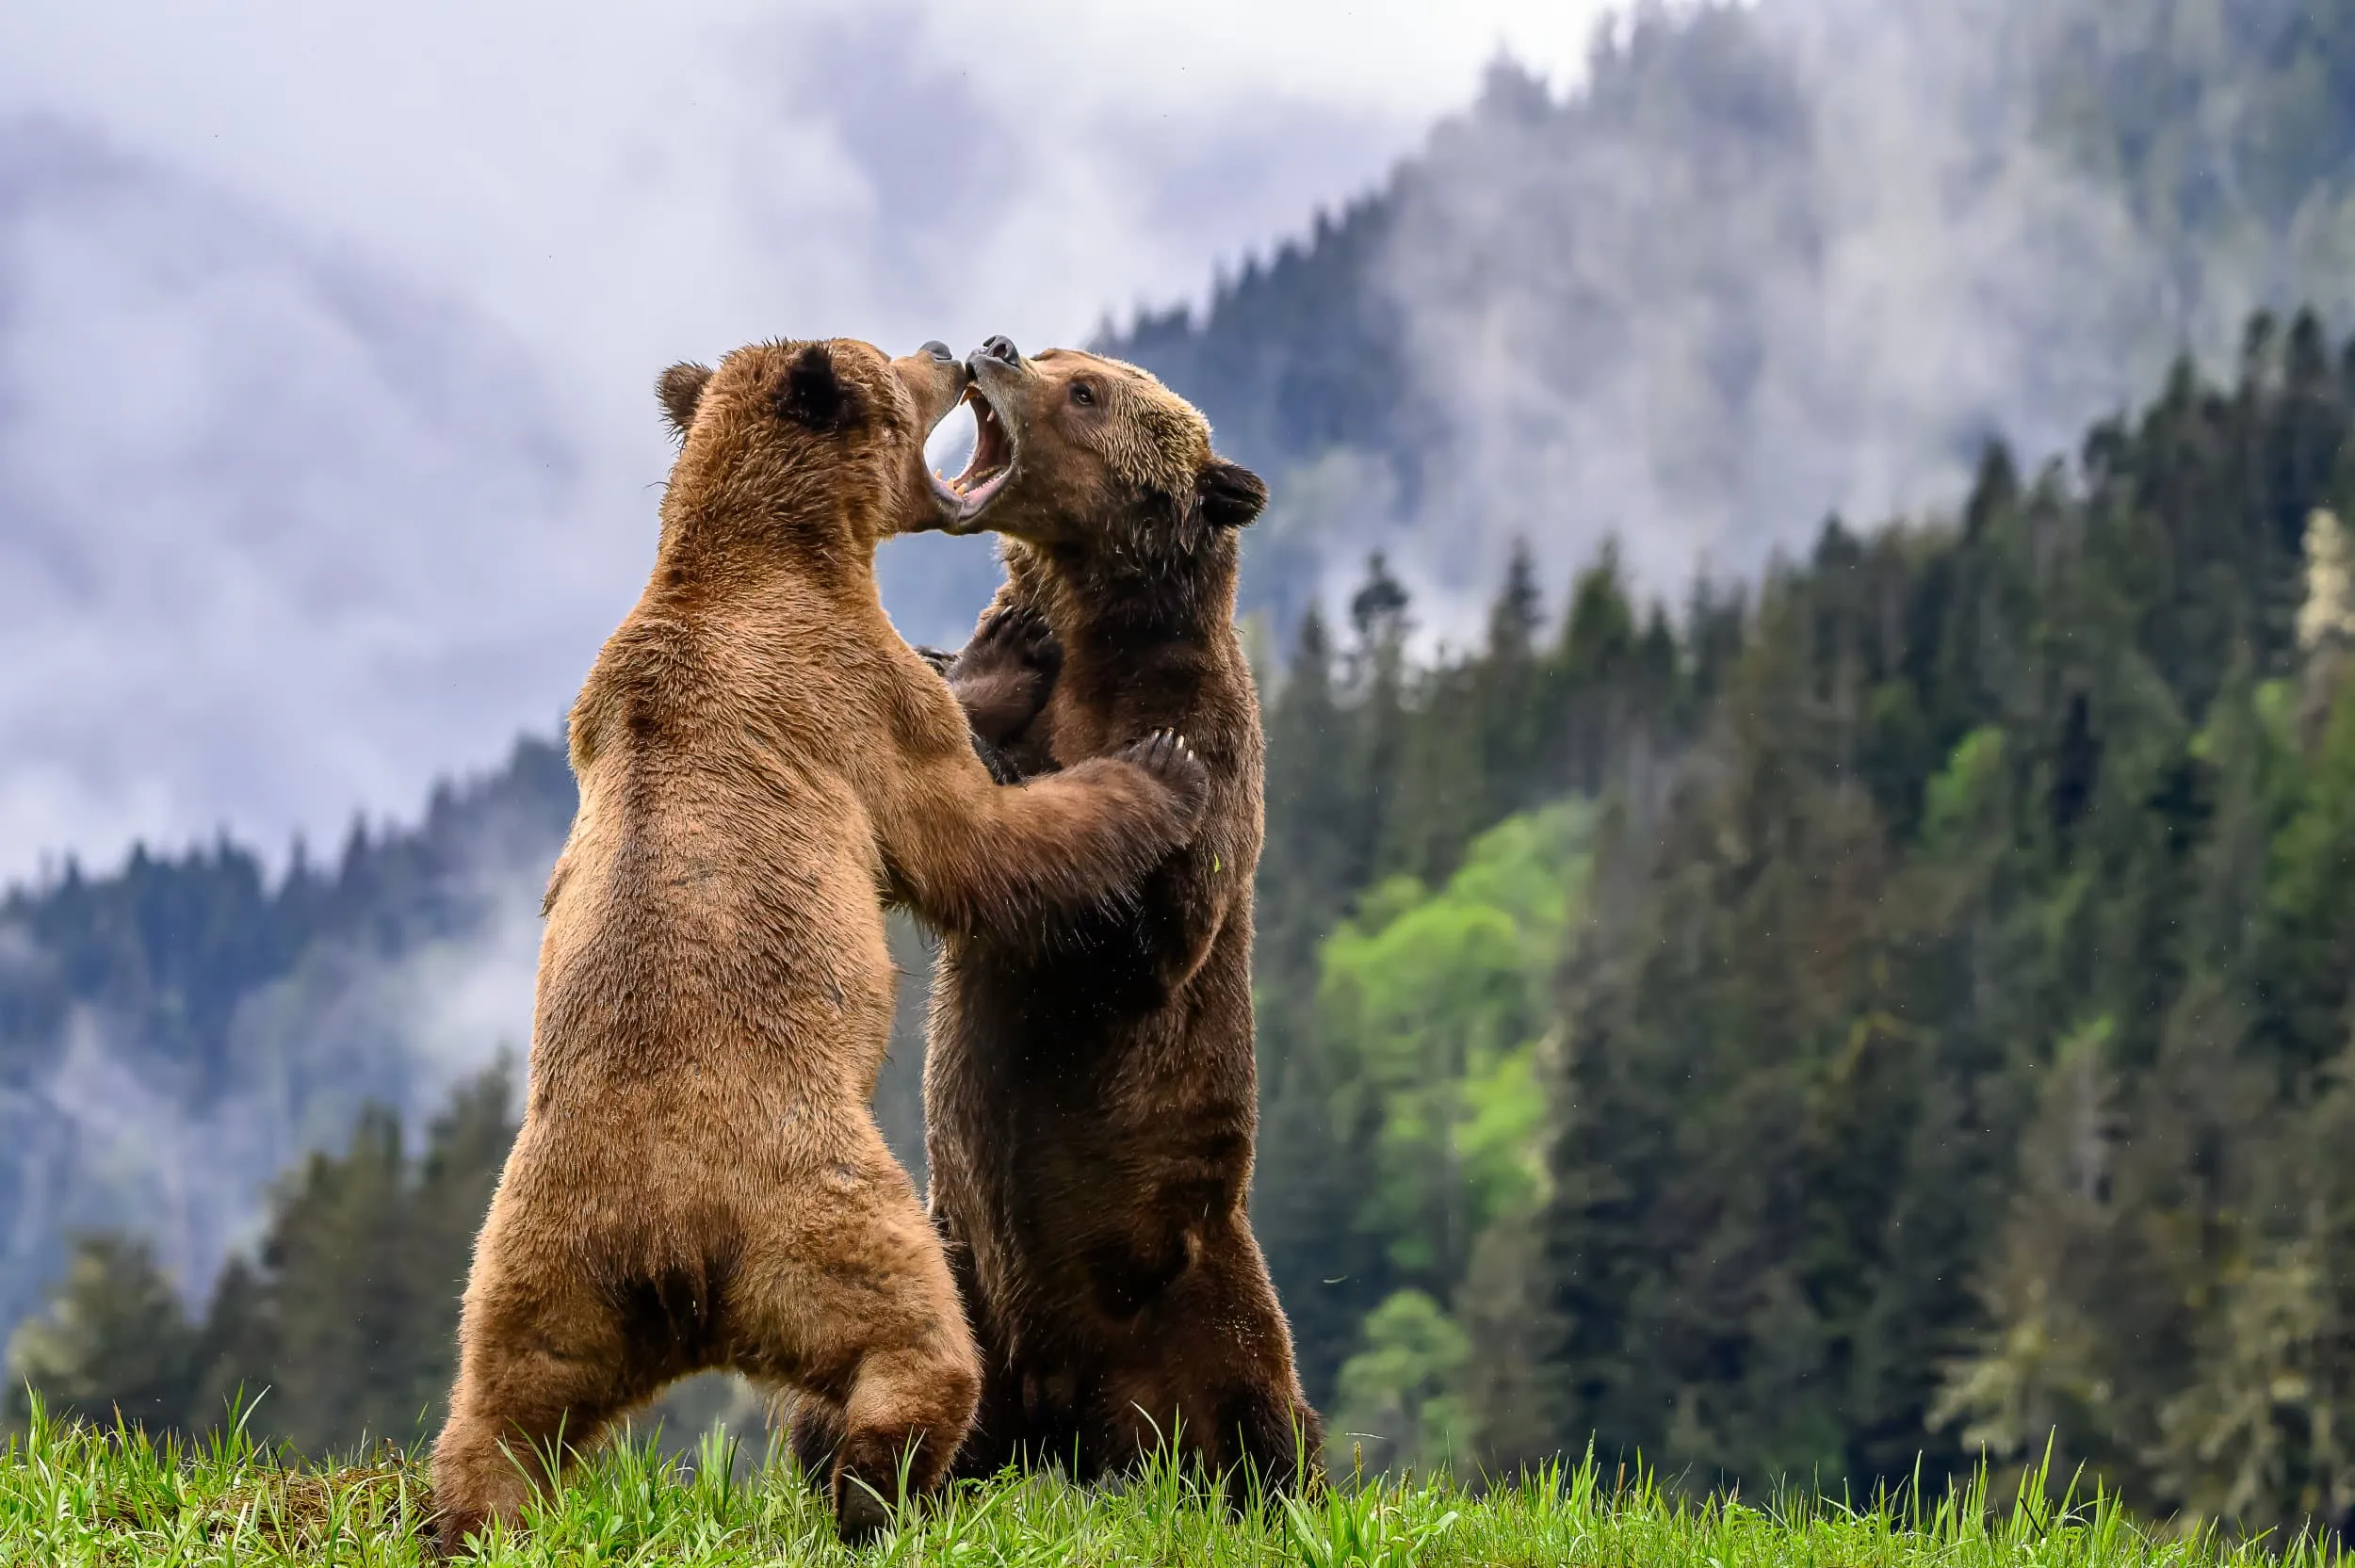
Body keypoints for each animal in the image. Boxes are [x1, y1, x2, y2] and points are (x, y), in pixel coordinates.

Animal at [428, 336, 1211, 1551]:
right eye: (898, 372)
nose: (949, 348)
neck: (772, 558)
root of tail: (670, 1257)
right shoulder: (854, 692)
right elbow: (968, 834)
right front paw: (1150, 759)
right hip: (821, 1202)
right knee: (911, 1330)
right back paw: (878, 1483)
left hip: (531, 1261)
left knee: (503, 1408)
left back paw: (466, 1519)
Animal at [888, 335, 1323, 1496]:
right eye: (1055, 353)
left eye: (1086, 390)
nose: (995, 347)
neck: (1098, 641)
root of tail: (1056, 1424)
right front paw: (981, 666)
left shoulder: (1209, 744)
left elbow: (1140, 932)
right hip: (954, 1262)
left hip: (1194, 1290)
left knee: (1255, 1413)